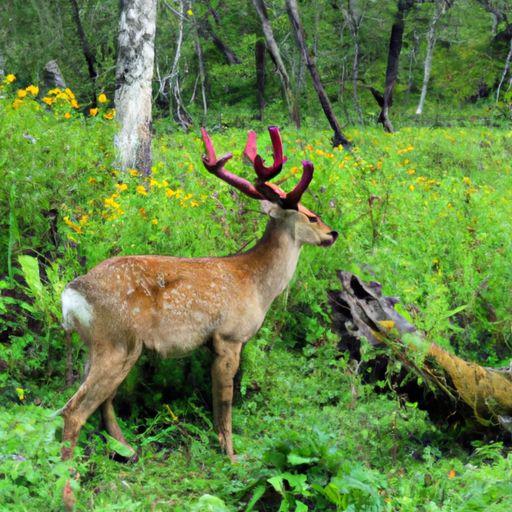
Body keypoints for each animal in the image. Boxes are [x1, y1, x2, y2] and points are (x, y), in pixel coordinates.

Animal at [60, 125, 338, 464]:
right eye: (310, 216)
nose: (332, 233)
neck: (256, 283)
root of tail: (71, 294)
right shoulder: (229, 336)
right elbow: (224, 404)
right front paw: (232, 456)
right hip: (117, 341)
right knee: (74, 410)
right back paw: (69, 473)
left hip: (104, 346)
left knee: (101, 402)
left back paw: (128, 451)